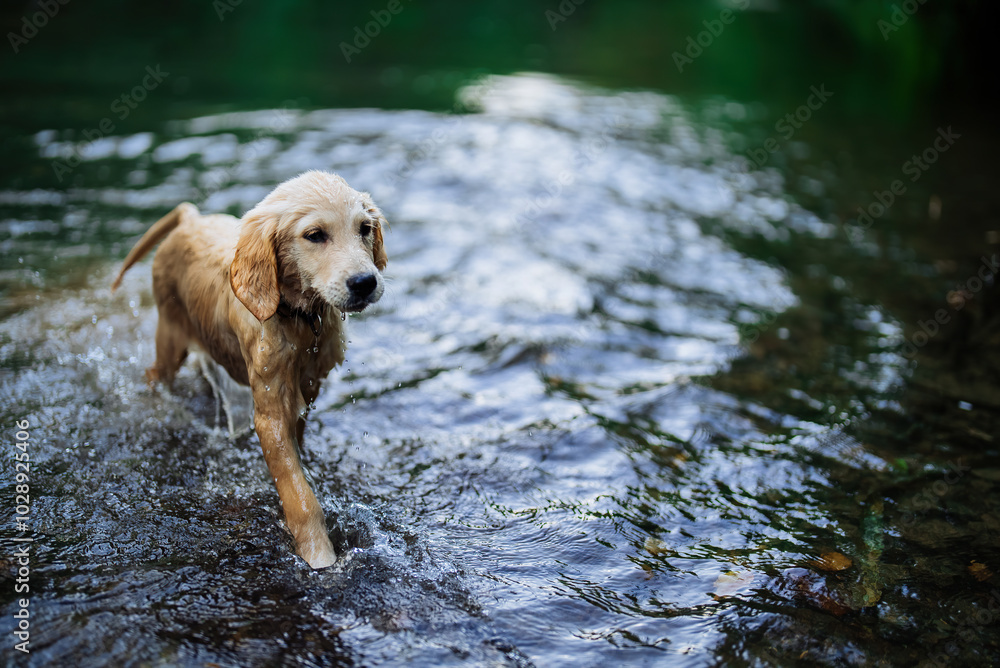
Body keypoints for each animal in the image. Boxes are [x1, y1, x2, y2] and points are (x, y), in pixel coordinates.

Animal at [112, 172, 386, 568]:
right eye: (315, 235)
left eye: (365, 228)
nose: (365, 282)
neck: (296, 318)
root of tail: (191, 219)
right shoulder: (269, 412)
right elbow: (299, 495)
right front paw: (319, 557)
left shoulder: (307, 388)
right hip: (169, 335)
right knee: (155, 376)